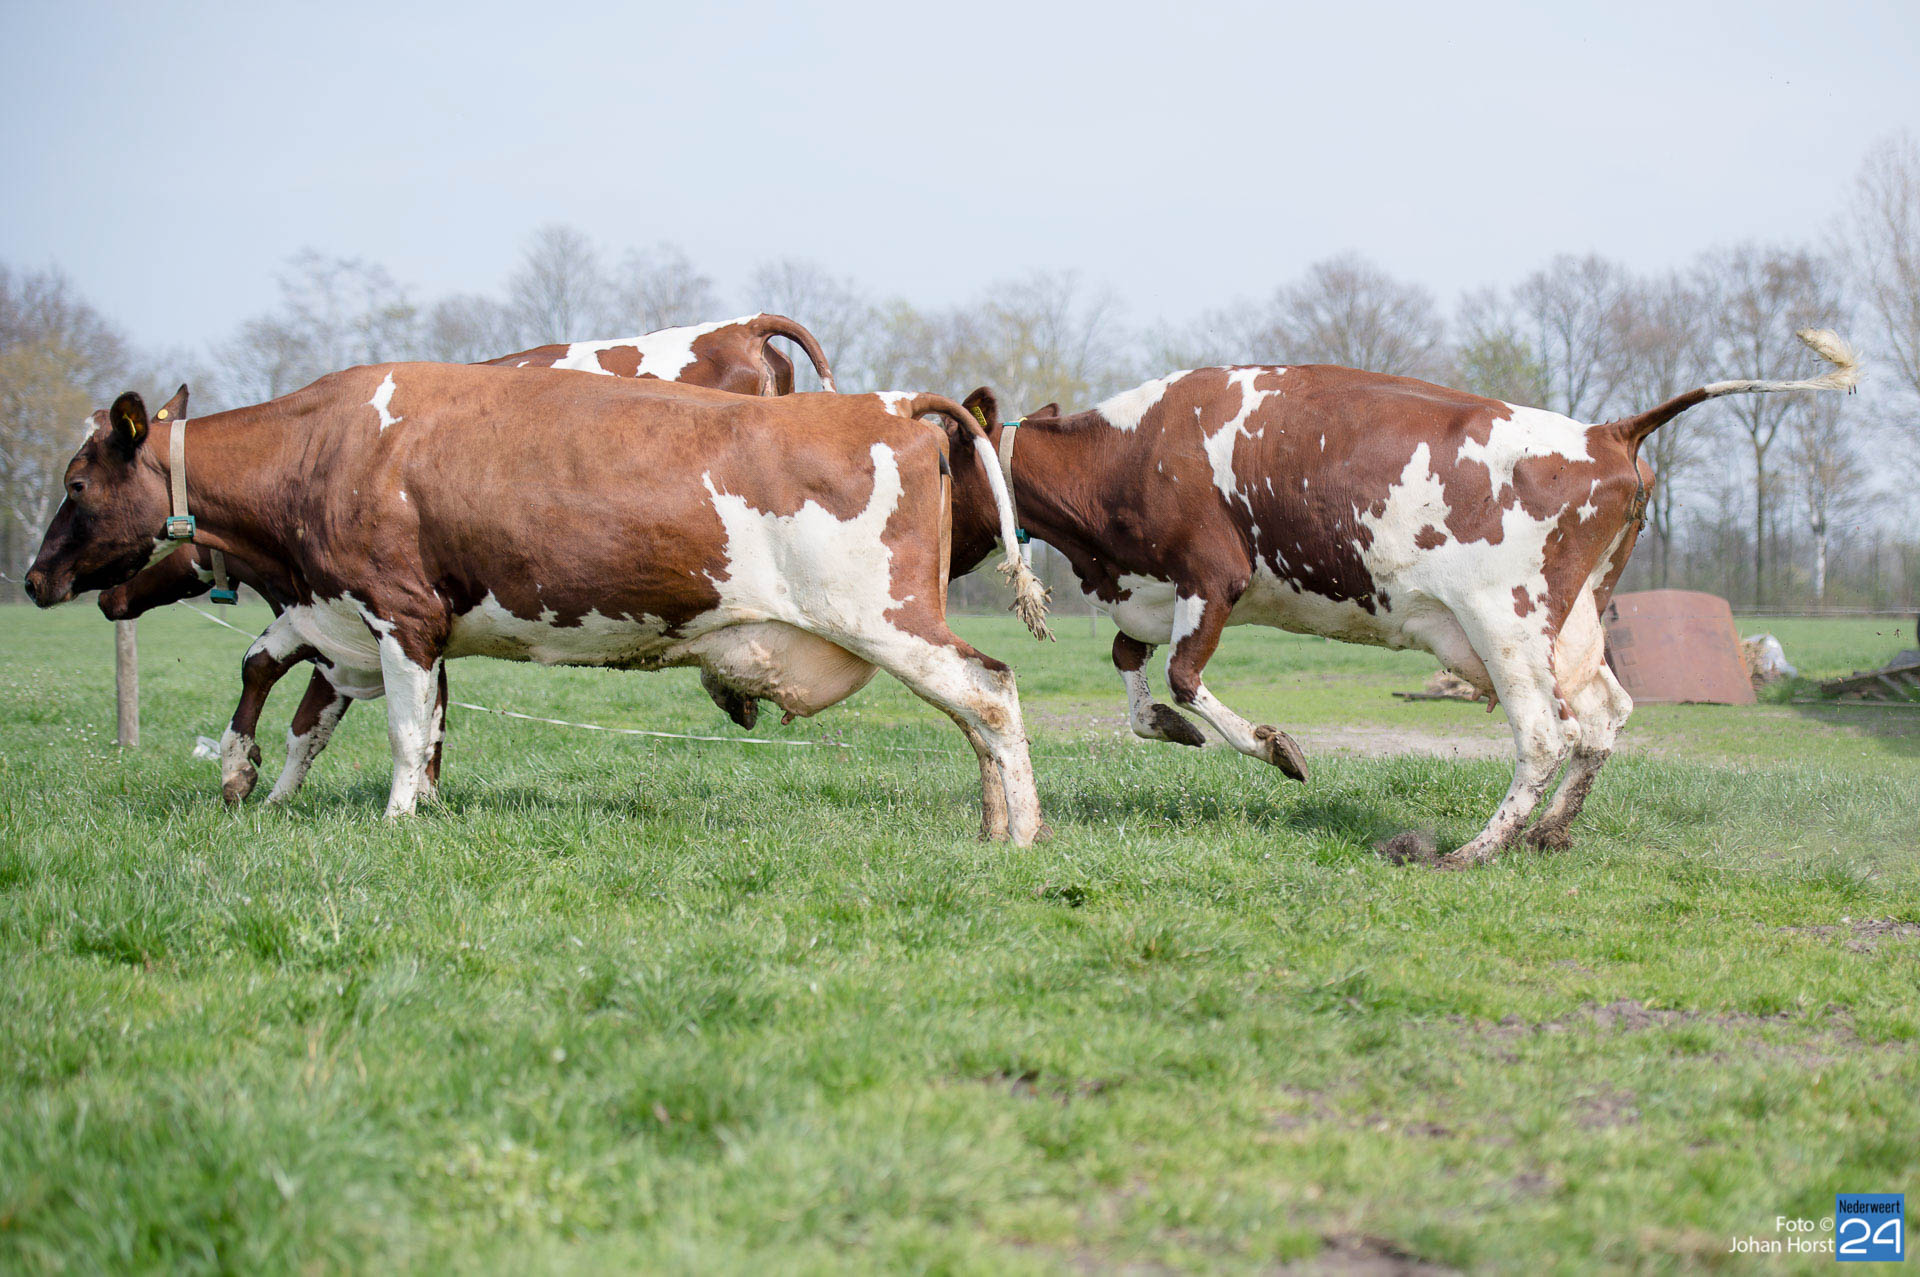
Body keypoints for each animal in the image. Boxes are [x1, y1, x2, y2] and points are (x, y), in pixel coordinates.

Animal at [30, 365, 1053, 843]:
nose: (37, 580)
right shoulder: (338, 615)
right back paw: (991, 826)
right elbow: (287, 686)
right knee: (975, 713)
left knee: (993, 691)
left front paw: (398, 818)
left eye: (76, 483)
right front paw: (252, 778)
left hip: (887, 619)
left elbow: (405, 728)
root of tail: (891, 403)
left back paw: (1023, 835)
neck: (324, 447)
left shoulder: (398, 612)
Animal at [940, 330, 1859, 866]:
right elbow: (1135, 677)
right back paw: (1550, 833)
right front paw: (1171, 729)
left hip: (1504, 623)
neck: (1130, 455)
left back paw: (1474, 850)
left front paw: (1279, 748)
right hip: (1574, 625)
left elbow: (1183, 678)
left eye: (944, 466)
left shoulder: (1213, 576)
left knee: (1545, 733)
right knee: (1604, 716)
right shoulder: (1147, 589)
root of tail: (1608, 432)